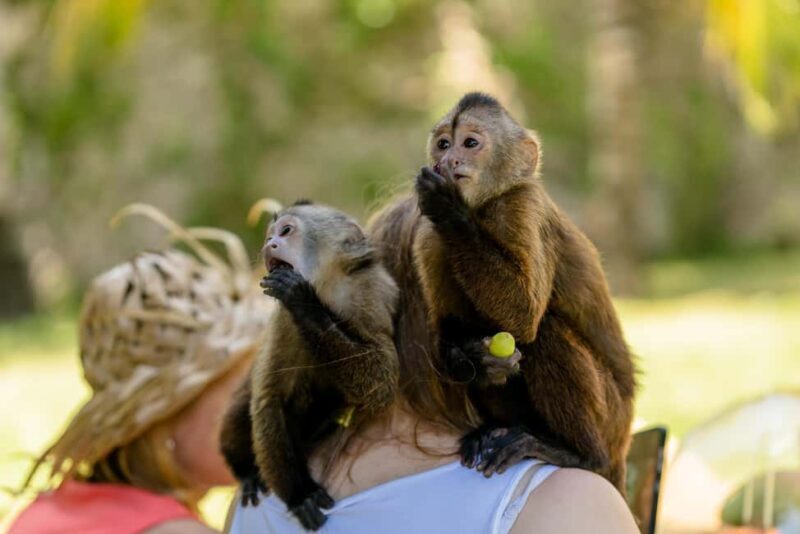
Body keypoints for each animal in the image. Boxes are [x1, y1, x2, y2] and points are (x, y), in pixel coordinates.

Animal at [220, 201, 400, 531]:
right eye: (269, 235)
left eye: (286, 231)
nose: (269, 244)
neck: (327, 289)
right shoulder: (281, 321)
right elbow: (268, 400)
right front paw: (300, 494)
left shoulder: (375, 295)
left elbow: (380, 386)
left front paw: (304, 303)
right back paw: (247, 472)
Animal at [369, 92, 636, 492]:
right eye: (444, 144)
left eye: (470, 143)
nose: (449, 161)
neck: (482, 209)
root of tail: (622, 448)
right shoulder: (428, 238)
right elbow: (450, 330)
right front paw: (478, 361)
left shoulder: (522, 205)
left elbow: (522, 315)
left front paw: (450, 208)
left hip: (613, 421)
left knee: (546, 333)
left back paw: (581, 455)